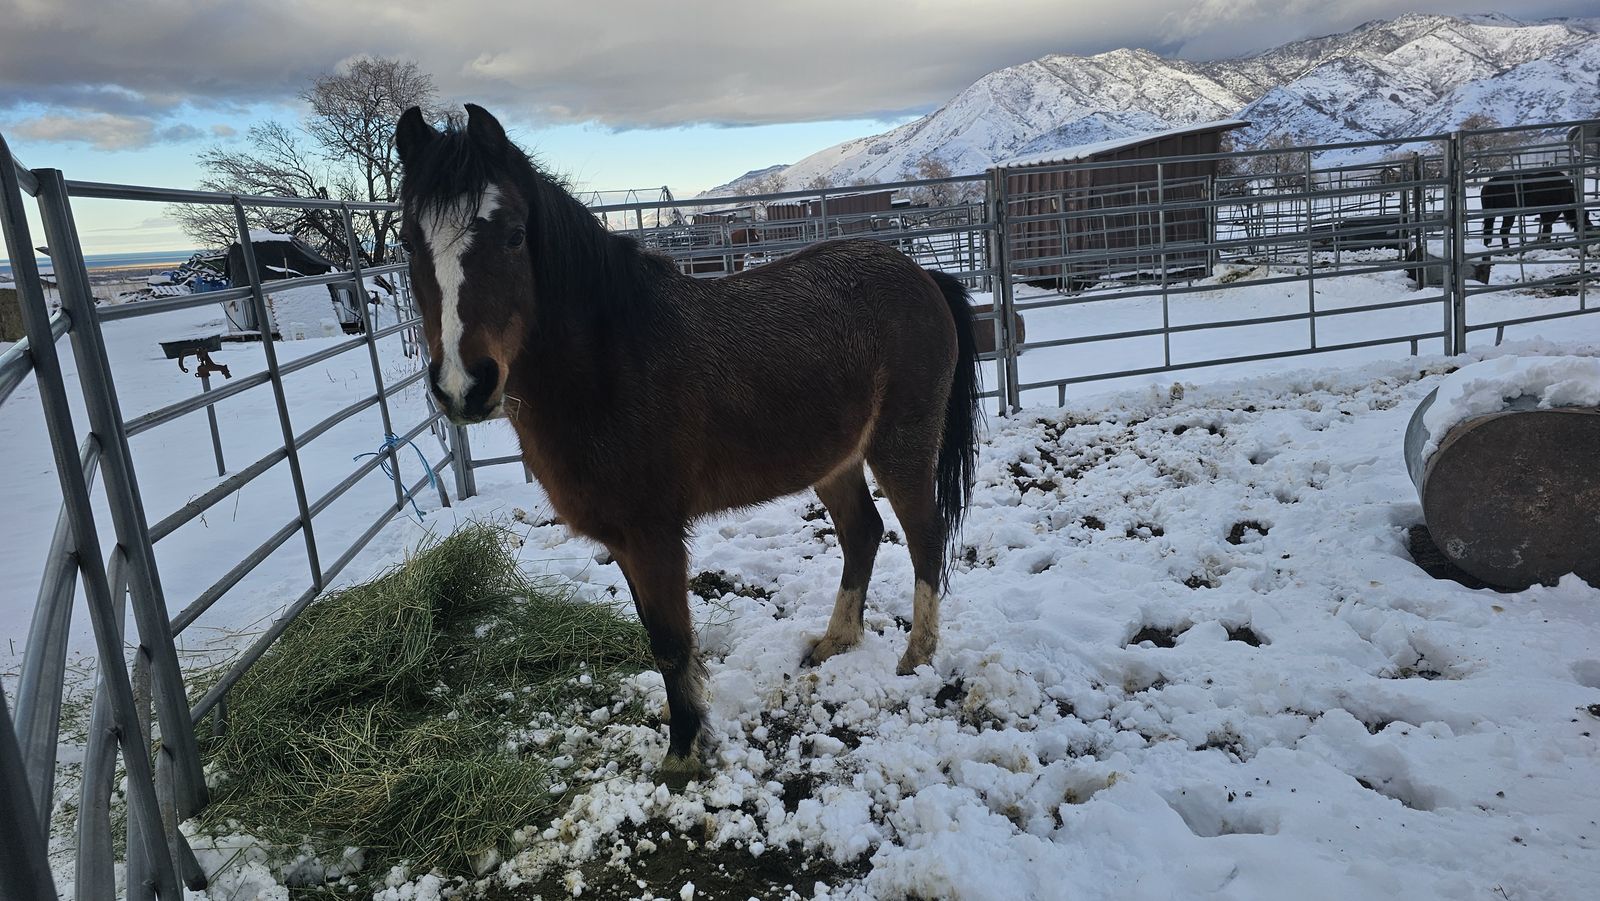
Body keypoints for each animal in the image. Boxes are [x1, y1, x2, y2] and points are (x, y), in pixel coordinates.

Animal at [394, 105, 980, 786]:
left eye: (515, 235)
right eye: (407, 242)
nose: (464, 385)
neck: (613, 365)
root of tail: (922, 276)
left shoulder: (654, 536)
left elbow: (672, 644)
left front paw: (681, 755)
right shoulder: (623, 541)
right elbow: (658, 638)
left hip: (901, 446)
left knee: (924, 534)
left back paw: (917, 654)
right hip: (836, 460)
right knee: (863, 532)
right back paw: (835, 641)